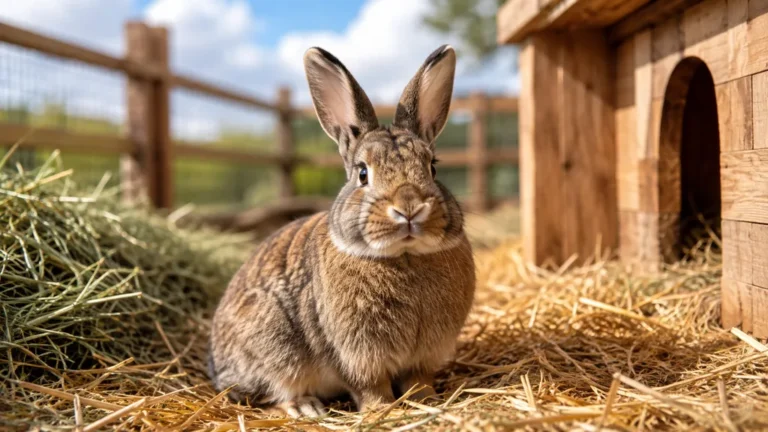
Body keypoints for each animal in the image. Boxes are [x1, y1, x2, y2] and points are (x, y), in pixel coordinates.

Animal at [207, 44, 475, 418]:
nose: (409, 207)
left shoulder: (423, 357)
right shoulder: (352, 353)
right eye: (362, 173)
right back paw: (306, 407)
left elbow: (417, 381)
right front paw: (381, 409)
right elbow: (369, 386)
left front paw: (426, 400)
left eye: (433, 167)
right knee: (270, 392)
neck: (405, 256)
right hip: (271, 341)